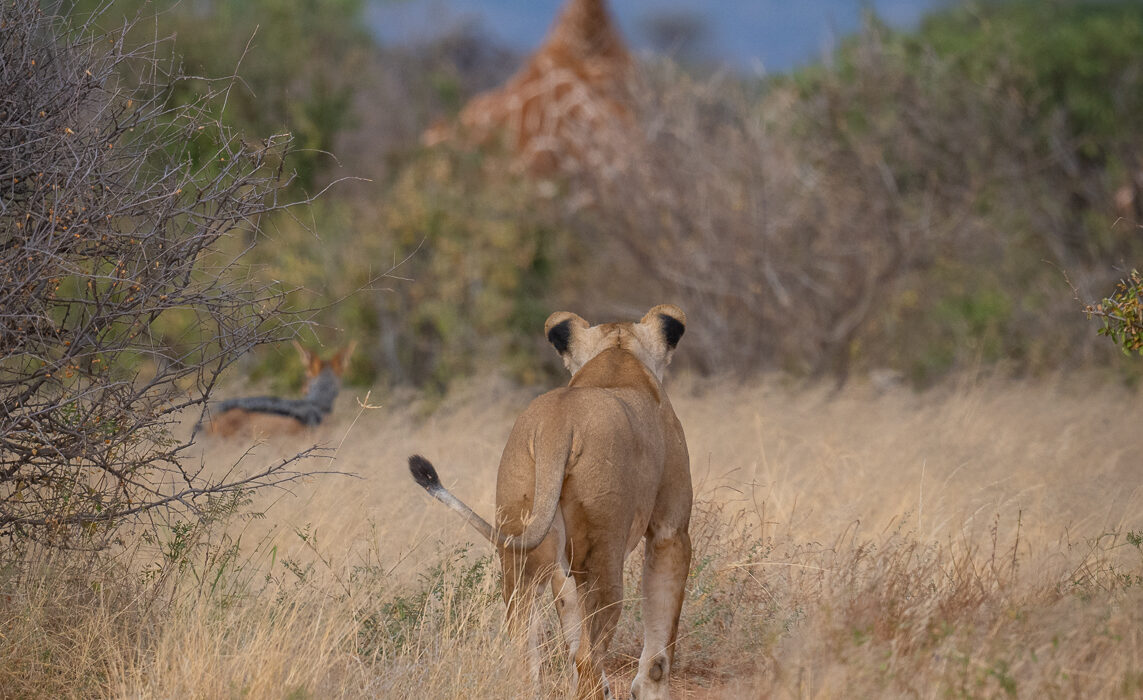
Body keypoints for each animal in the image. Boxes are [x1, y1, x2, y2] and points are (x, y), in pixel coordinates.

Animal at [408, 305, 691, 700]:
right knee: (588, 656)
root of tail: (559, 424)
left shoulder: (562, 562)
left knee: (525, 652)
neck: (617, 355)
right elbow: (659, 650)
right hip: (602, 553)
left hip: (523, 545)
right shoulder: (671, 531)